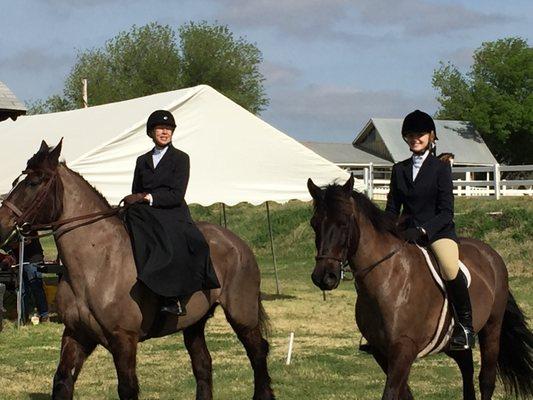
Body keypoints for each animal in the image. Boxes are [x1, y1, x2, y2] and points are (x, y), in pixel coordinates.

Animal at [0, 141, 274, 400]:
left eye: (34, 182)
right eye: (17, 181)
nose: (2, 226)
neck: (96, 266)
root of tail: (237, 243)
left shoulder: (124, 340)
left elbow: (127, 389)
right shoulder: (77, 335)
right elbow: (62, 382)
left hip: (242, 315)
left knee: (258, 352)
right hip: (195, 323)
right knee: (203, 364)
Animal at [306, 175, 528, 400]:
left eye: (343, 223)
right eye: (314, 224)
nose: (324, 277)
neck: (387, 279)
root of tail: (491, 254)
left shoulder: (404, 348)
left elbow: (391, 393)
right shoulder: (381, 352)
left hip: (492, 327)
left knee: (486, 379)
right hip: (451, 342)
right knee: (466, 366)